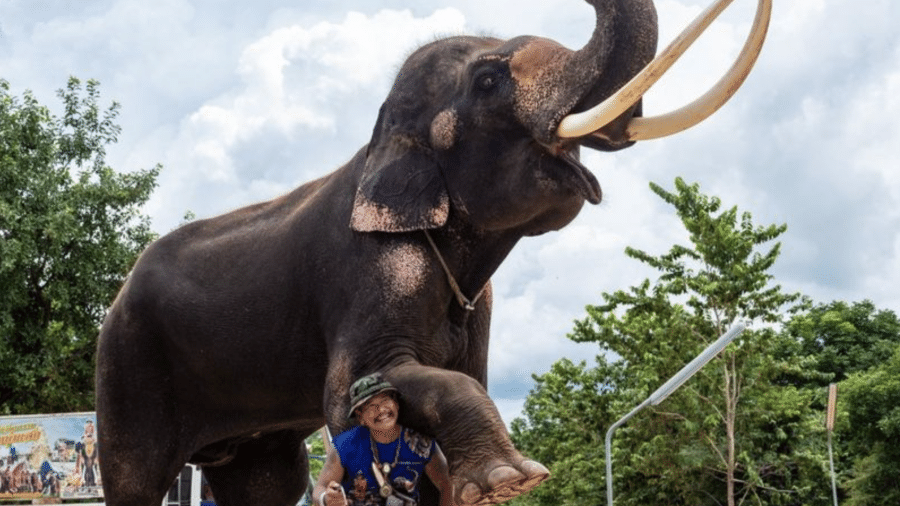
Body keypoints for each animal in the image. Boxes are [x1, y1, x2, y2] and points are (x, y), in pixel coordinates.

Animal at [96, 0, 772, 506]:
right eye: (489, 81)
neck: (379, 139)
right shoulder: (368, 269)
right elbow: (350, 396)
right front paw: (511, 479)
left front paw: (483, 483)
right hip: (127, 362)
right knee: (136, 476)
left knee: (266, 483)